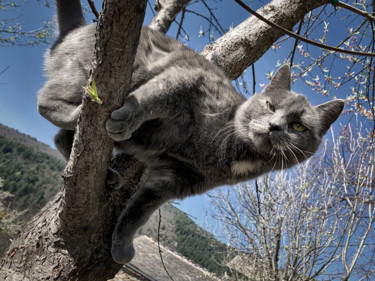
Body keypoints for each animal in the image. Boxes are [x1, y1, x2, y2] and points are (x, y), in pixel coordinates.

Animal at [38, 0, 346, 264]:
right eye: (270, 106)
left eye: (298, 126)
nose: (275, 126)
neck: (233, 153)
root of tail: (79, 27)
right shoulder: (187, 80)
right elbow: (149, 98)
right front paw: (125, 120)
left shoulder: (173, 182)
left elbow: (139, 213)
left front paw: (122, 245)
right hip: (83, 76)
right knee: (46, 102)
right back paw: (80, 114)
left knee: (61, 137)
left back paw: (109, 173)